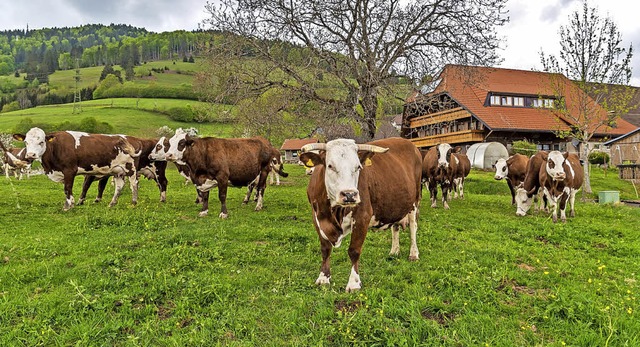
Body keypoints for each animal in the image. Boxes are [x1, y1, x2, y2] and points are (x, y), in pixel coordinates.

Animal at [302, 139, 424, 294]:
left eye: (358, 167)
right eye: (330, 166)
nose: (349, 194)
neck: (333, 212)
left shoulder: (362, 218)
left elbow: (354, 251)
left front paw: (354, 283)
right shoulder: (317, 218)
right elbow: (325, 249)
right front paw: (323, 278)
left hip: (415, 201)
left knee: (413, 227)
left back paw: (413, 254)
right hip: (396, 203)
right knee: (395, 227)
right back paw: (394, 251)